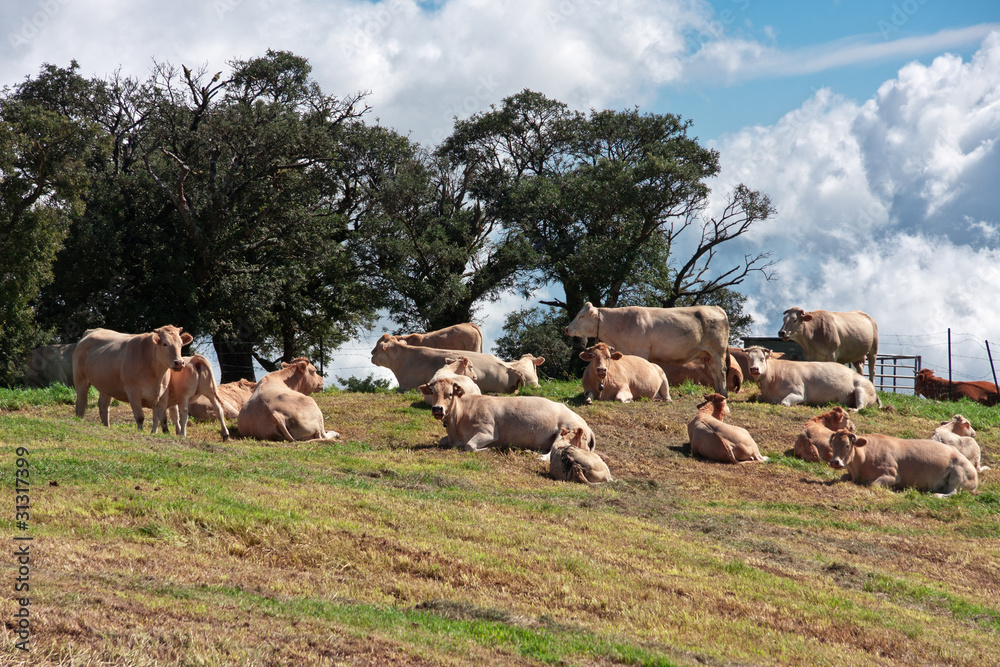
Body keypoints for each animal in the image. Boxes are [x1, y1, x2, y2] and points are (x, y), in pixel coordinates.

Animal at [418, 379, 594, 454]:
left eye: (449, 394)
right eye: (433, 393)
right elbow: (442, 441)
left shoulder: (488, 432)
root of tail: (586, 426)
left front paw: (490, 448)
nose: (437, 408)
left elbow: (469, 446)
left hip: (565, 432)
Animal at [564, 302, 731, 396]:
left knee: (721, 371)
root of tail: (716, 308)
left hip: (718, 351)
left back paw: (724, 393)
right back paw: (717, 393)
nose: (566, 328)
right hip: (708, 354)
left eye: (581, 316)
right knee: (714, 371)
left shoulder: (641, 351)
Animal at [744, 346, 881, 410]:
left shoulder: (798, 392)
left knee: (861, 406)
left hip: (861, 389)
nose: (754, 369)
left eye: (762, 359)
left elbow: (784, 402)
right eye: (749, 359)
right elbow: (758, 397)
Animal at [827, 430, 978, 498]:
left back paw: (936, 495)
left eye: (847, 445)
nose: (835, 462)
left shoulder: (892, 474)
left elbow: (873, 485)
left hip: (958, 472)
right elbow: (843, 477)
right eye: (832, 444)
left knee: (953, 492)